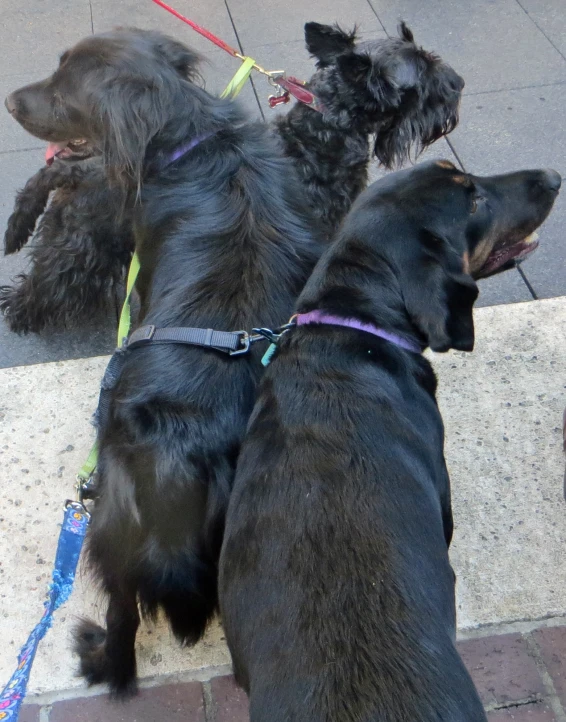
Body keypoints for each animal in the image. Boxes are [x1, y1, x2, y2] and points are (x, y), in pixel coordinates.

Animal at [5, 29, 324, 696]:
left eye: (63, 91)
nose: (9, 100)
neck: (193, 136)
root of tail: (183, 458)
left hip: (111, 530)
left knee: (123, 627)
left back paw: (96, 655)